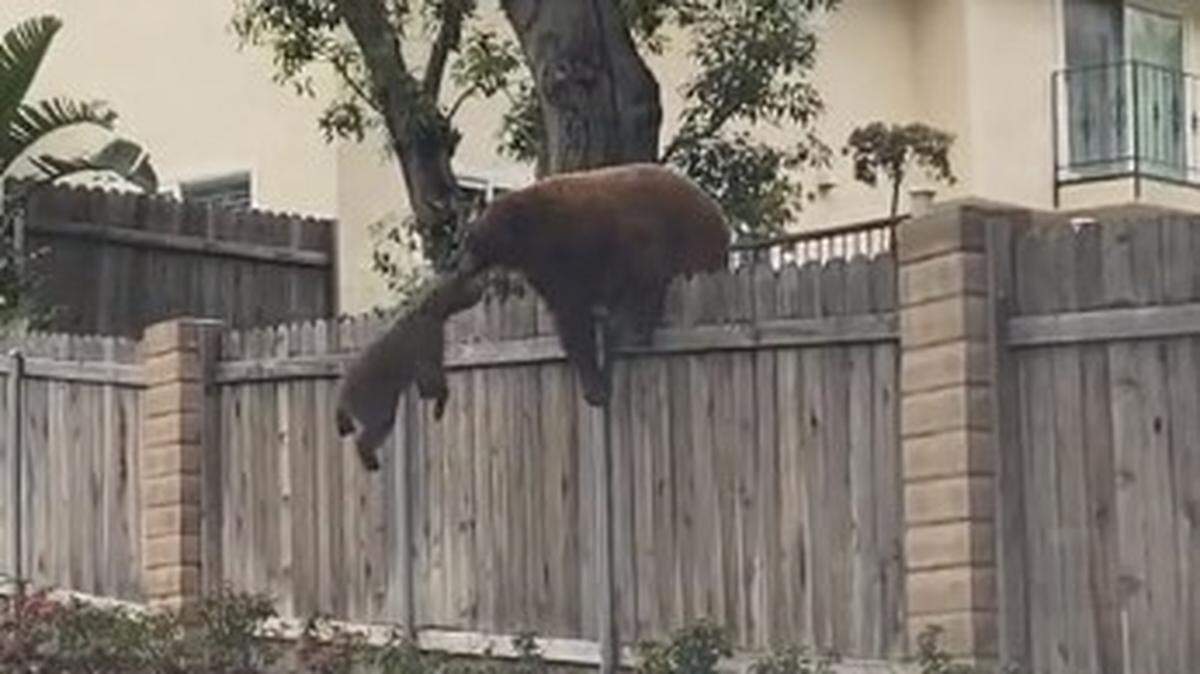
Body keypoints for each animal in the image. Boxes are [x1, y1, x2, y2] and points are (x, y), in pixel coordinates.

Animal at [335, 270, 485, 471]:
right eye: (464, 284)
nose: (481, 286)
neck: (431, 310)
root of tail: (342, 397)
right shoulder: (428, 341)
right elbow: (433, 377)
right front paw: (439, 405)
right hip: (374, 403)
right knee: (373, 430)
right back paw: (371, 460)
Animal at [454, 162, 730, 406]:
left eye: (472, 243)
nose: (461, 268)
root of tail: (719, 217)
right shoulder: (548, 269)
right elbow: (568, 312)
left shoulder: (582, 248)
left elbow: (582, 309)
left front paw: (596, 382)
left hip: (691, 242)